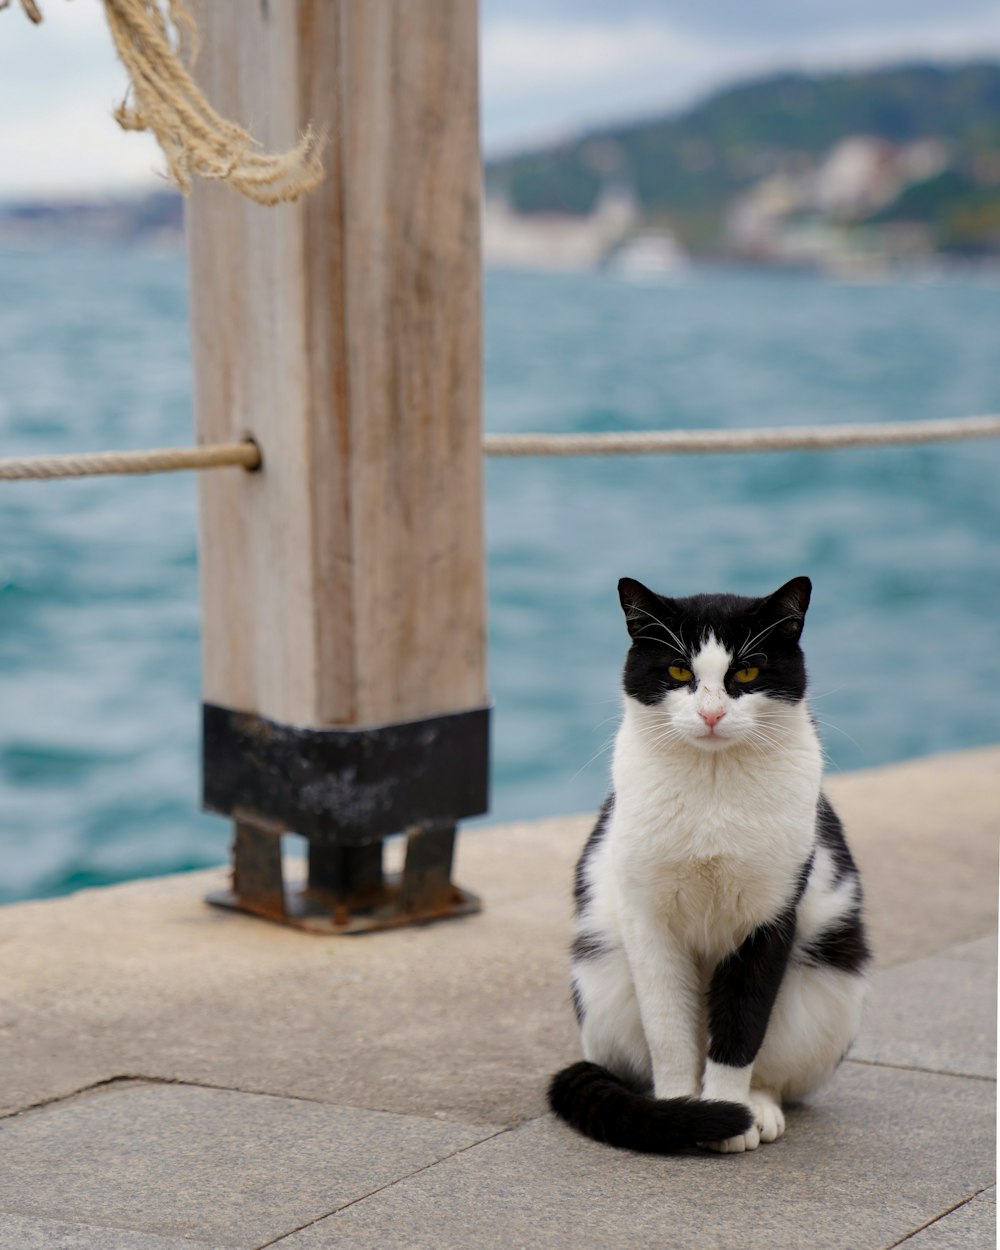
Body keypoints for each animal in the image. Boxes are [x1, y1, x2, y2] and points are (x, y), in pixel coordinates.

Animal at [550, 575, 870, 1150]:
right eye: (679, 671)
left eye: (746, 671)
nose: (712, 714)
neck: (713, 783)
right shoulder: (647, 921)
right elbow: (669, 1030)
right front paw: (682, 1110)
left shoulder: (772, 917)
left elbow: (743, 1022)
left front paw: (727, 1112)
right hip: (604, 978)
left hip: (826, 983)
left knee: (772, 1061)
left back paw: (757, 1107)